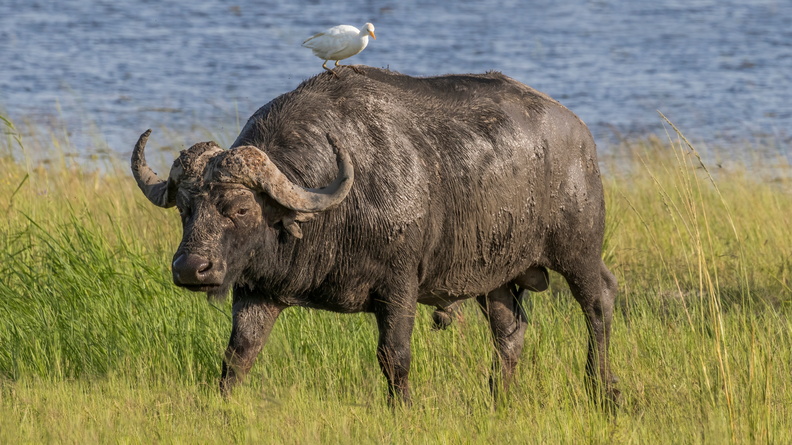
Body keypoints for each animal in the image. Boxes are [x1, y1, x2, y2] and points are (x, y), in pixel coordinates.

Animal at [131, 66, 619, 407]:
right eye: (186, 209)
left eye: (240, 209)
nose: (191, 269)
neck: (335, 212)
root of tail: (579, 133)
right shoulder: (257, 291)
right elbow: (238, 354)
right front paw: (222, 404)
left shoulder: (399, 288)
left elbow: (394, 356)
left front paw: (402, 407)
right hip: (494, 277)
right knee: (510, 332)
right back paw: (498, 397)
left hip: (579, 252)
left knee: (599, 306)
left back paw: (603, 390)